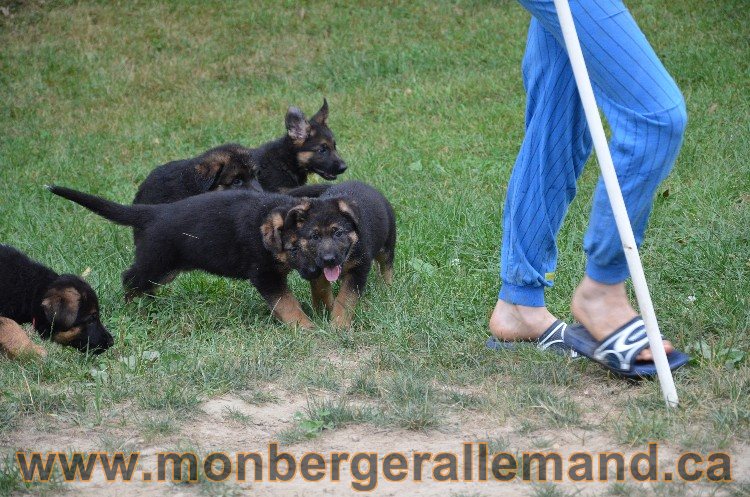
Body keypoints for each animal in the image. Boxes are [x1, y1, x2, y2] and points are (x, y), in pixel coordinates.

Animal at [47, 184, 318, 328]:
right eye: (297, 247)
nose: (320, 269)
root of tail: (153, 213)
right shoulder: (264, 275)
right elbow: (286, 302)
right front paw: (304, 325)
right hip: (156, 261)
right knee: (130, 278)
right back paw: (135, 308)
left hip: (165, 270)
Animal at [262, 180, 396, 328]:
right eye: (315, 236)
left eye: (338, 233)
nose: (329, 260)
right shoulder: (317, 269)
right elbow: (322, 290)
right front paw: (323, 313)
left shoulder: (359, 269)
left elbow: (345, 298)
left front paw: (339, 324)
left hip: (387, 245)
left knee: (386, 267)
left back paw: (386, 288)